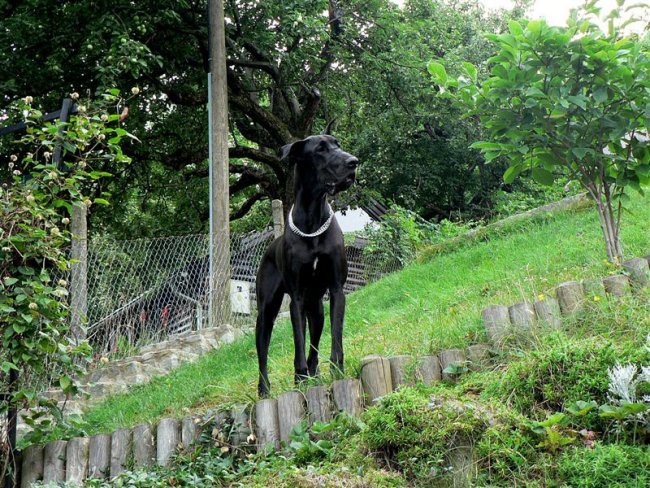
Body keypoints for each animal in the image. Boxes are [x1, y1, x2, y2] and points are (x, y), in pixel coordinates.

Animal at [254, 133, 356, 396]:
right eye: (320, 149)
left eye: (338, 145)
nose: (353, 162)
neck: (313, 220)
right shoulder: (297, 299)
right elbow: (298, 341)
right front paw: (299, 379)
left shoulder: (336, 289)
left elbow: (335, 336)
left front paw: (336, 371)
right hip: (266, 312)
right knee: (262, 353)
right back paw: (265, 389)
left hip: (316, 308)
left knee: (315, 344)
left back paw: (314, 373)